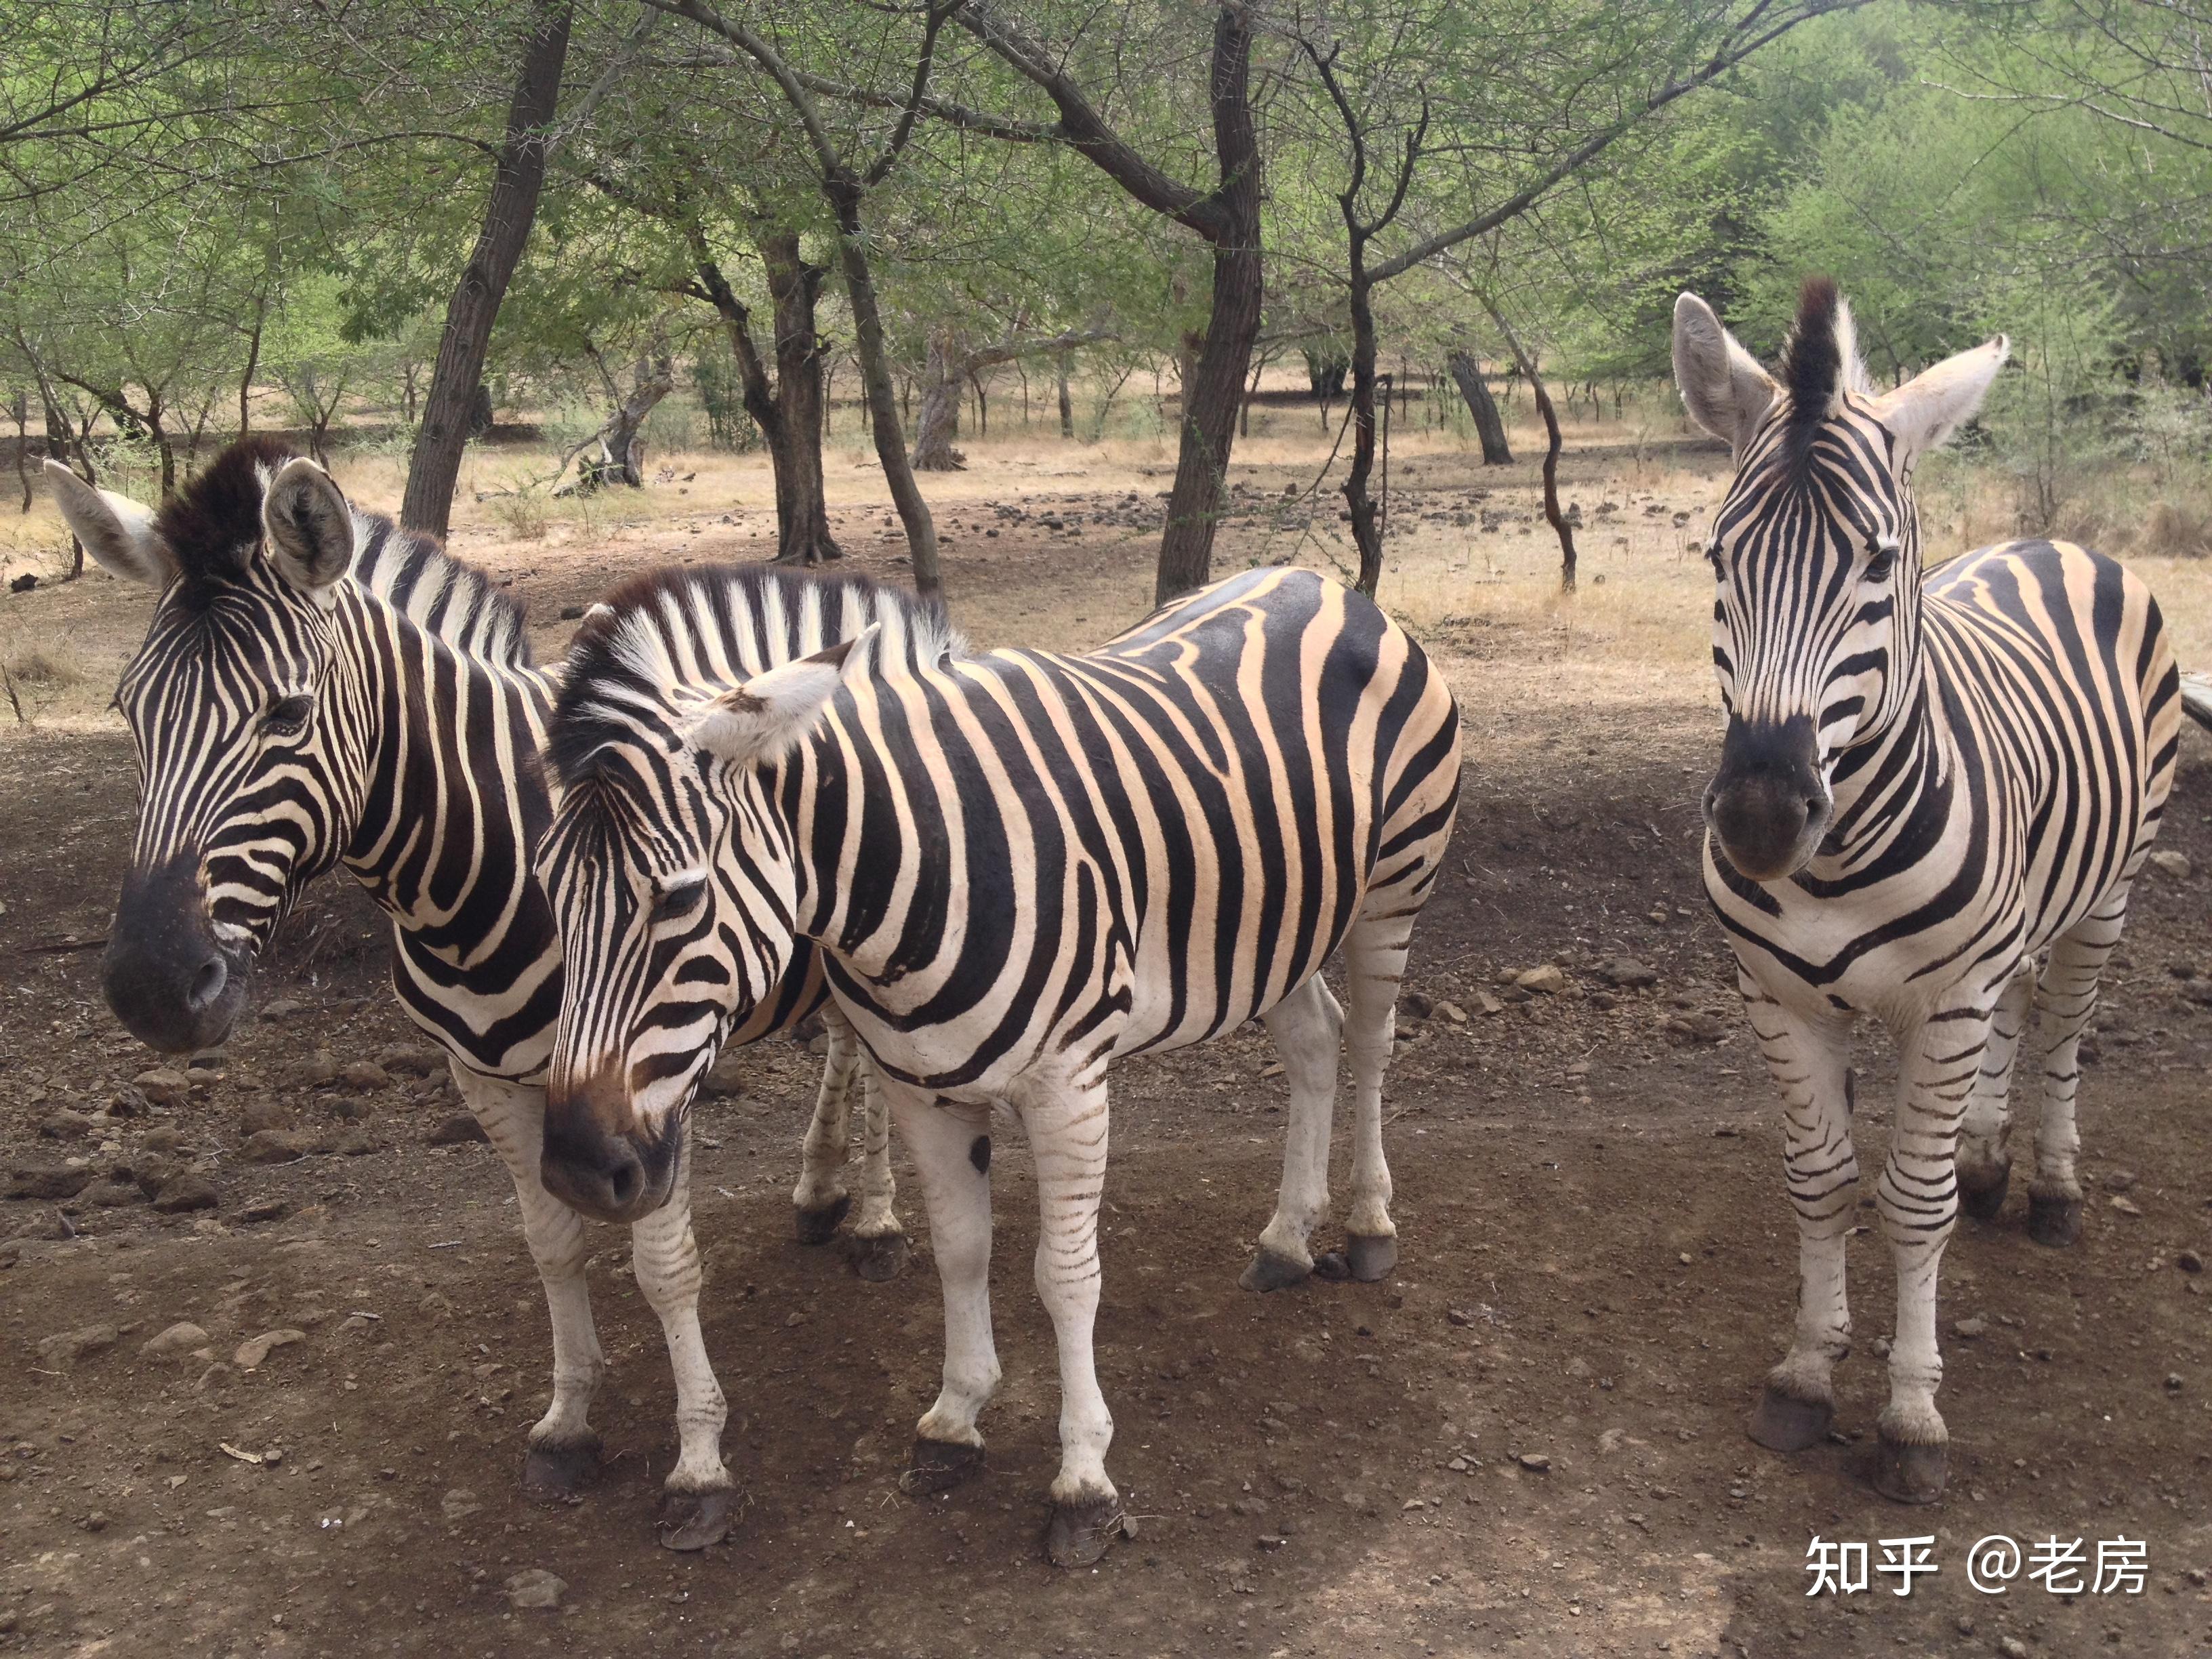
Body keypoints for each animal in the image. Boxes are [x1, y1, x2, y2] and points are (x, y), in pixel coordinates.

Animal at [47, 436, 907, 1557]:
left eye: (287, 713)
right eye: (127, 711)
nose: (150, 986)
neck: (473, 870)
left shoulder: (646, 1080)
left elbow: (663, 1265)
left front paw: (699, 1465)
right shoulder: (484, 1078)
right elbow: (552, 1245)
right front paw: (568, 1423)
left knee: (872, 1061)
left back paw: (878, 1221)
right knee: (847, 1051)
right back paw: (818, 1193)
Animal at [531, 566, 1469, 1565]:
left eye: (679, 898)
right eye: (546, 887)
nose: (578, 1170)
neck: (911, 869)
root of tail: (1322, 583)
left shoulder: (1069, 1085)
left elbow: (1065, 1277)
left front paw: (1084, 1483)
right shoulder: (921, 1090)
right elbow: (961, 1249)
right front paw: (955, 1418)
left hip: (1393, 886)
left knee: (1368, 1045)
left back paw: (1367, 1226)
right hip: (1273, 925)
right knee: (1315, 1044)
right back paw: (1286, 1239)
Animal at [1672, 283, 2176, 1504]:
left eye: (1874, 561)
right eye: (1717, 554)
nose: (1760, 816)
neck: (1836, 859)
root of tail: (2048, 541)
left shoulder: (1942, 1000)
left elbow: (1911, 1199)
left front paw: (1909, 1416)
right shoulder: (1777, 999)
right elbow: (1818, 1181)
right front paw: (1806, 1376)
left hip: (2109, 893)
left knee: (2060, 1026)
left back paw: (2049, 1187)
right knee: (2017, 1012)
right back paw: (1992, 1163)